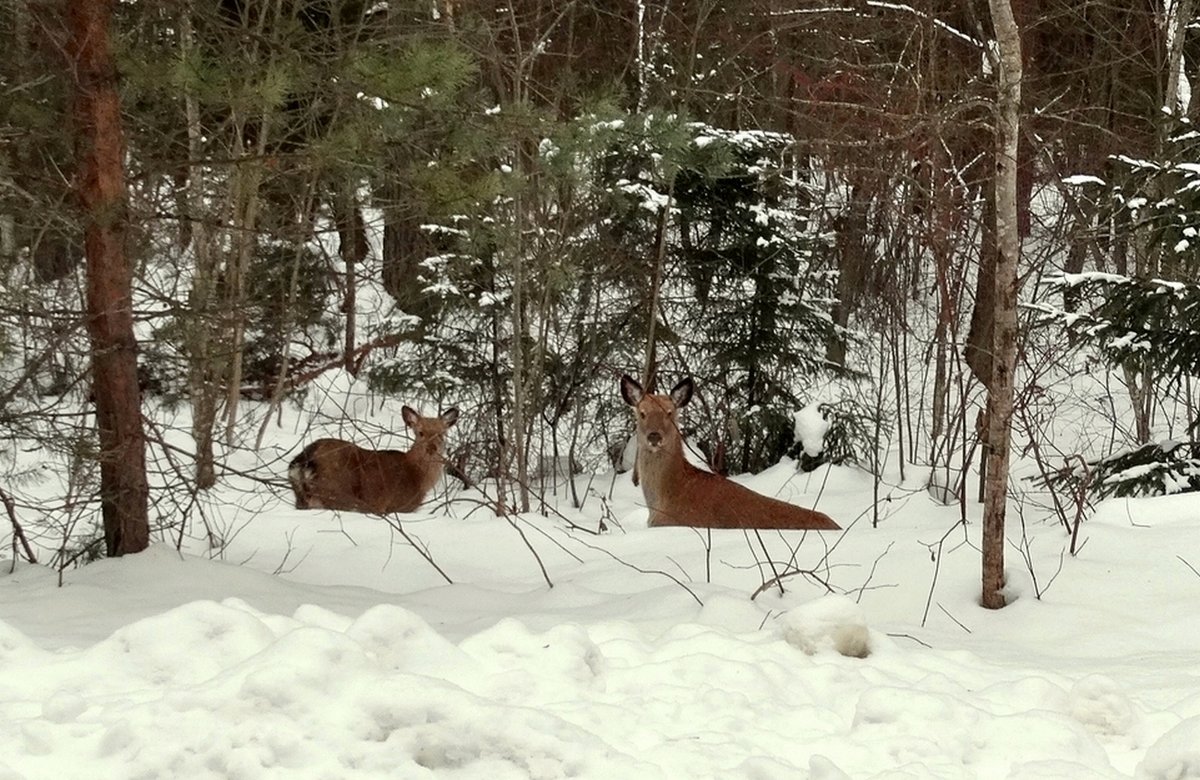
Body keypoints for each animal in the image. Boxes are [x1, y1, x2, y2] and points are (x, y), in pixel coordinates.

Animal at [289, 403, 458, 513]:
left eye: (442, 434)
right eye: (420, 433)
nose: (431, 448)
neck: (419, 476)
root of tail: (304, 461)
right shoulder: (399, 505)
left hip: (302, 499)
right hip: (338, 493)